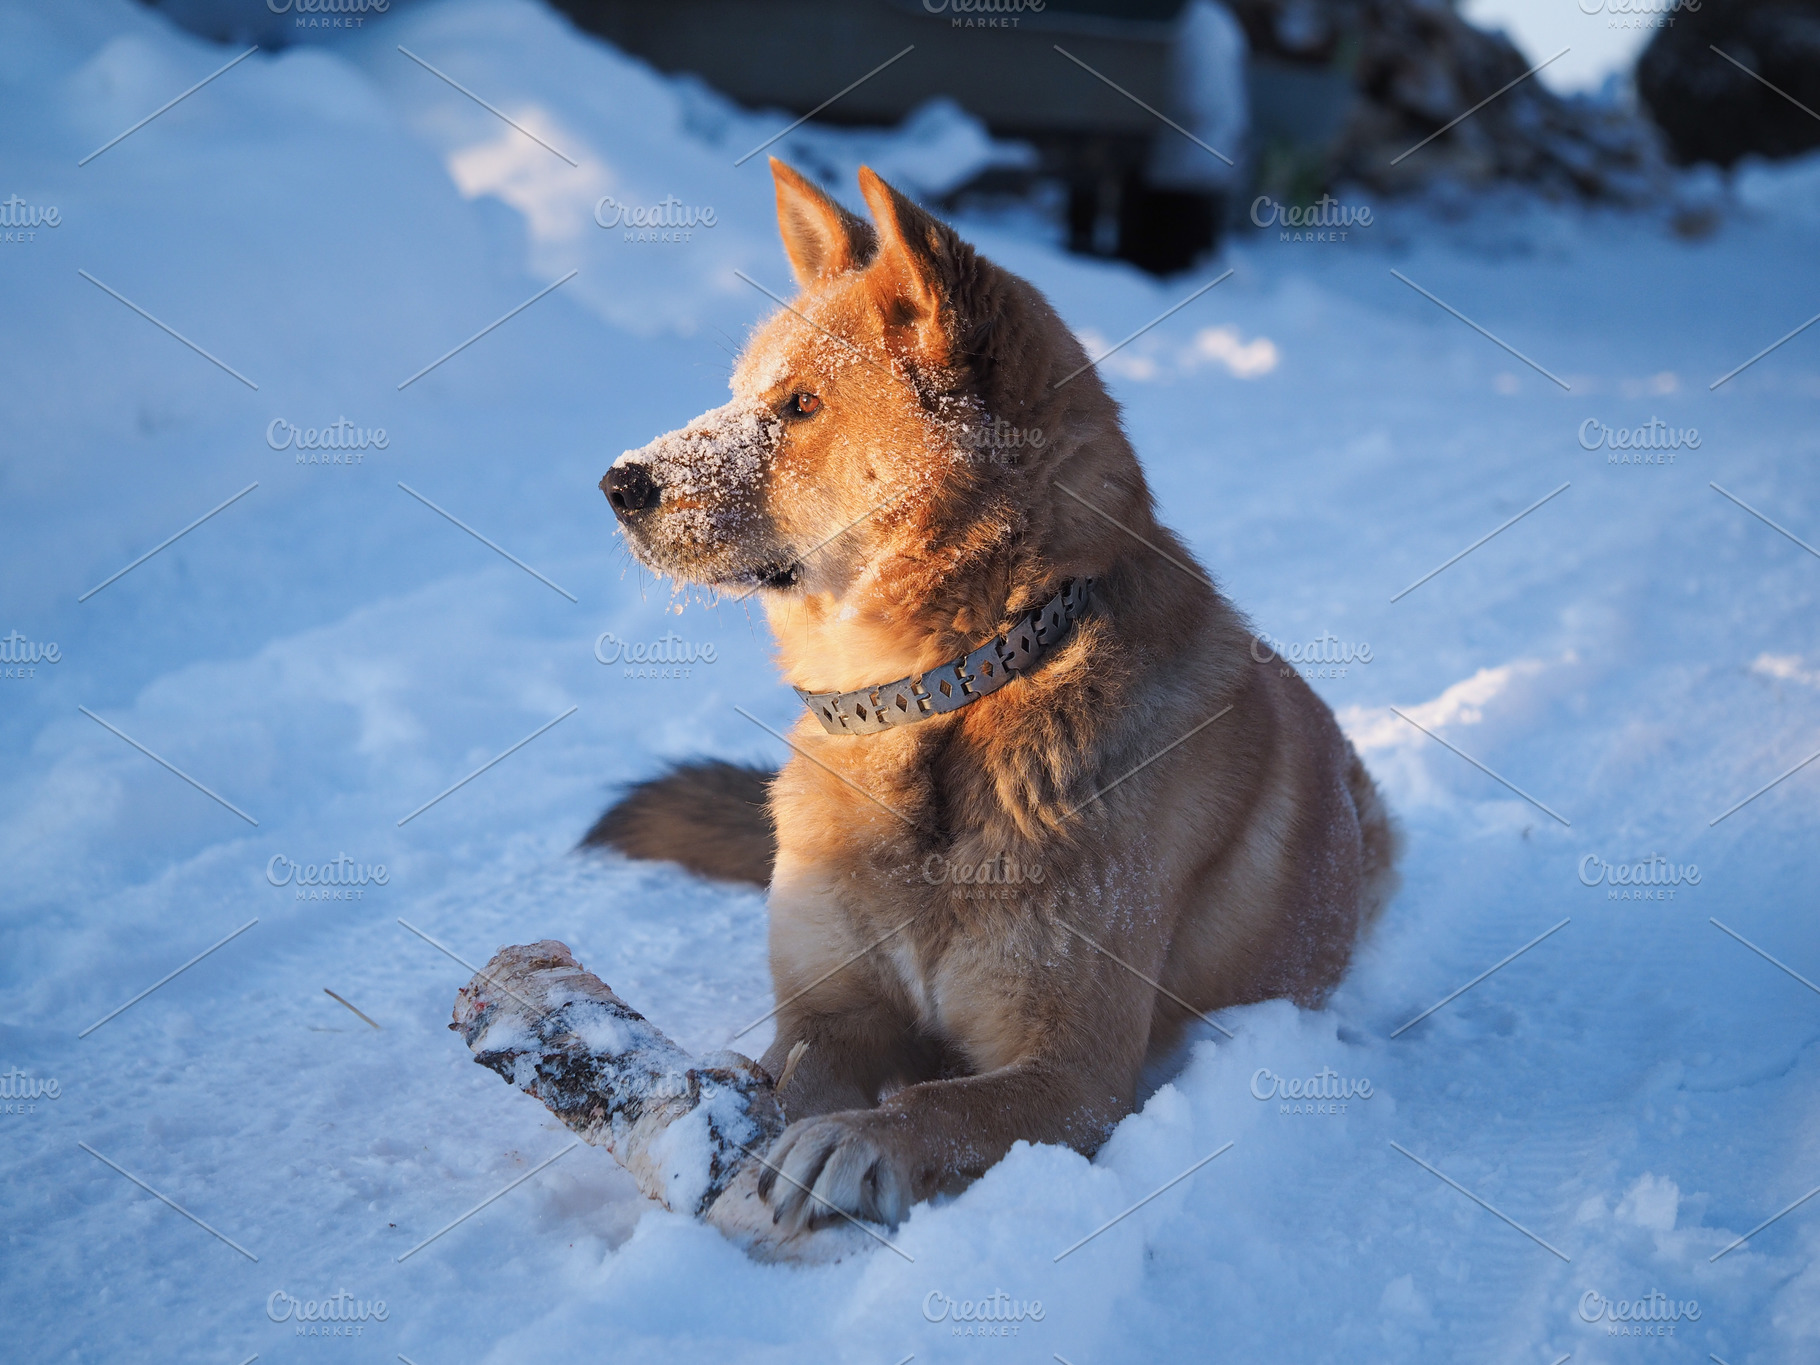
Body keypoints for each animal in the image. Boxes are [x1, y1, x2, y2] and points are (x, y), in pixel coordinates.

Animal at [582, 162, 1390, 1237]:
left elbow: (945, 1103)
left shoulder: (1075, 1075)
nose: (618, 482)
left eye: (800, 404)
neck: (954, 695)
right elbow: (782, 1075)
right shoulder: (829, 1011)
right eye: (744, 392)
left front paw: (856, 1142)